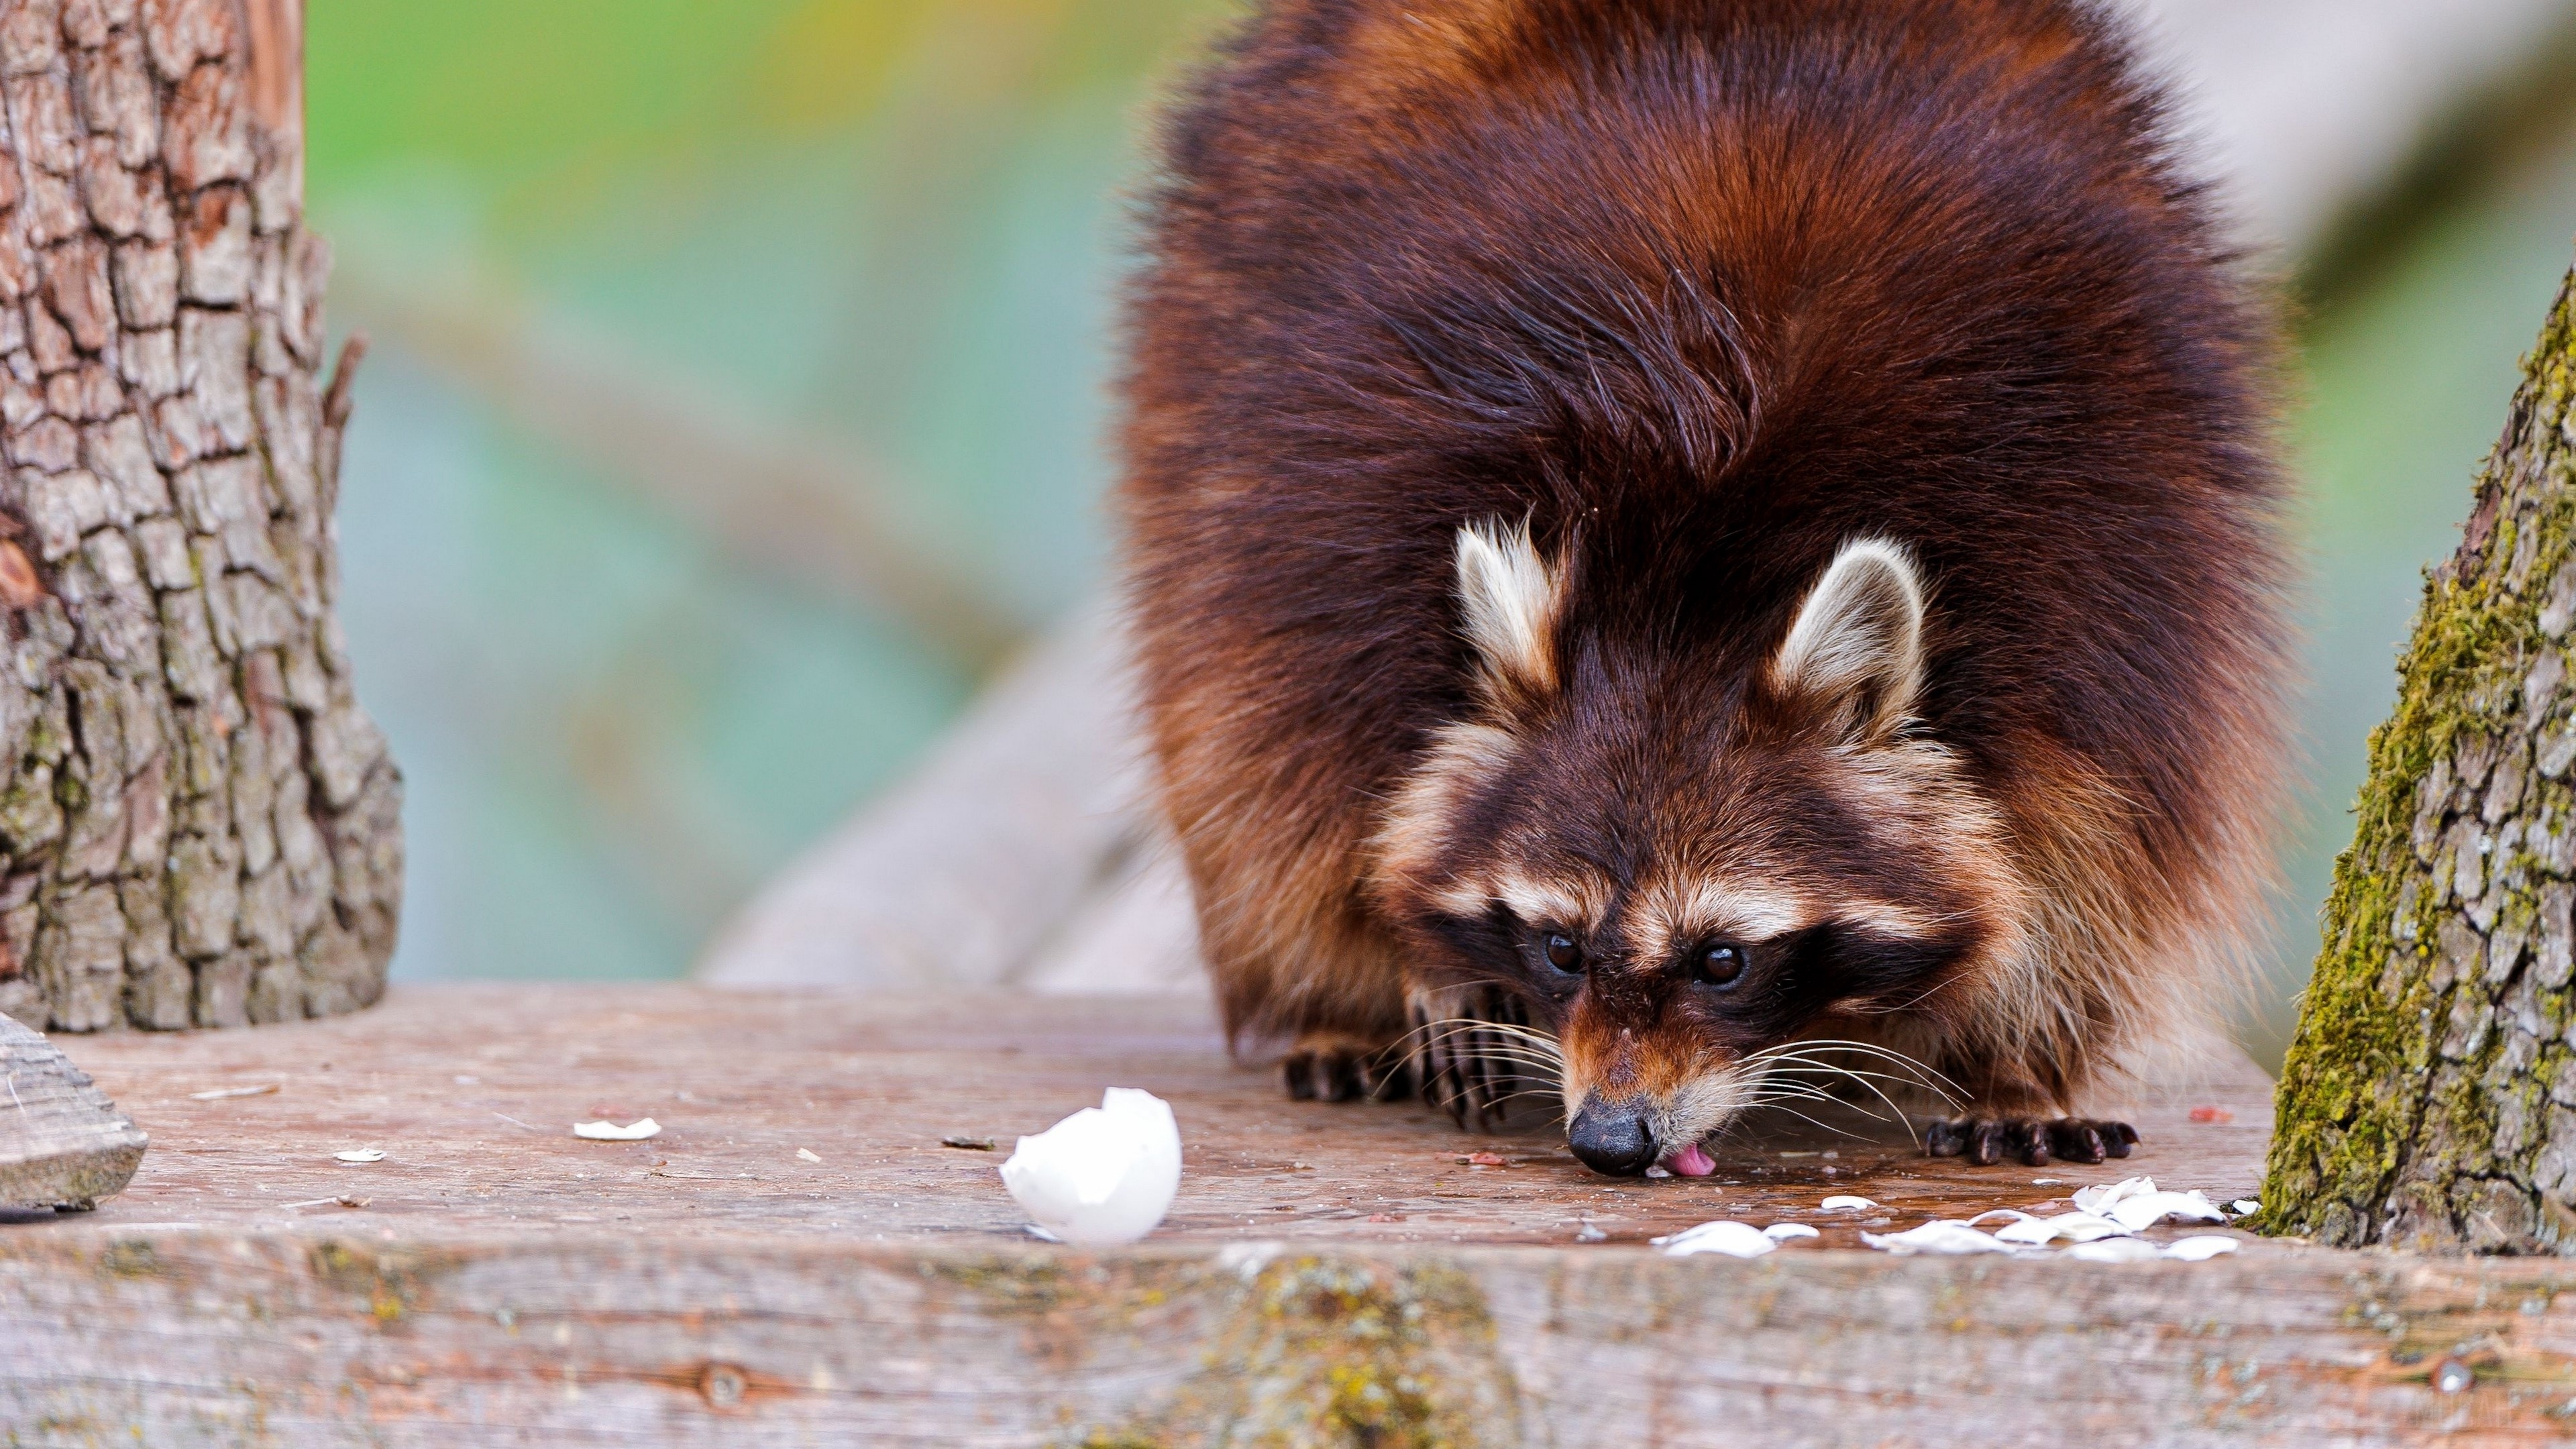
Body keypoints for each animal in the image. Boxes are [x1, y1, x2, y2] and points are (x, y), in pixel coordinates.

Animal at [1117, 0, 2287, 1174]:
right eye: (1561, 947)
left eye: (1722, 959)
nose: (1610, 1140)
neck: (1687, 596)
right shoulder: (1338, 530)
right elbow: (1318, 769)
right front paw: (1422, 964)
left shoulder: (2102, 567)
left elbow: (2101, 831)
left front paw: (2023, 1049)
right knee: (1240, 774)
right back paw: (1337, 1004)